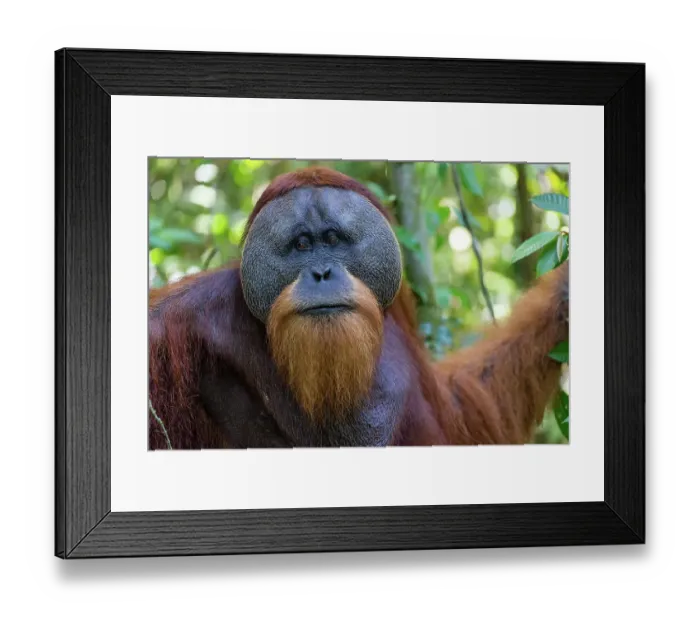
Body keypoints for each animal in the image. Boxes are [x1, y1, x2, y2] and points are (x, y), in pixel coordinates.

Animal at [148, 166, 569, 449]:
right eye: (302, 244)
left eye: (333, 238)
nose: (322, 273)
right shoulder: (169, 332)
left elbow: (458, 412)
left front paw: (564, 295)